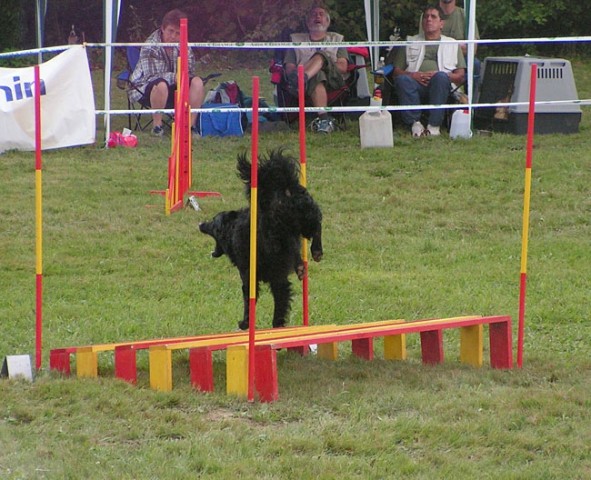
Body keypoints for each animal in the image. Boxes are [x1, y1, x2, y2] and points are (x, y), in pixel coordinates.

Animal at [200, 149, 324, 330]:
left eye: (213, 222)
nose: (200, 224)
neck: (233, 229)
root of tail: (284, 189)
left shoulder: (248, 274)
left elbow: (248, 299)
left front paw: (245, 323)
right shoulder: (278, 278)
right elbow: (281, 301)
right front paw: (277, 326)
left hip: (277, 231)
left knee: (294, 242)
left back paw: (304, 262)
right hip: (306, 216)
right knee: (316, 226)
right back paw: (316, 252)